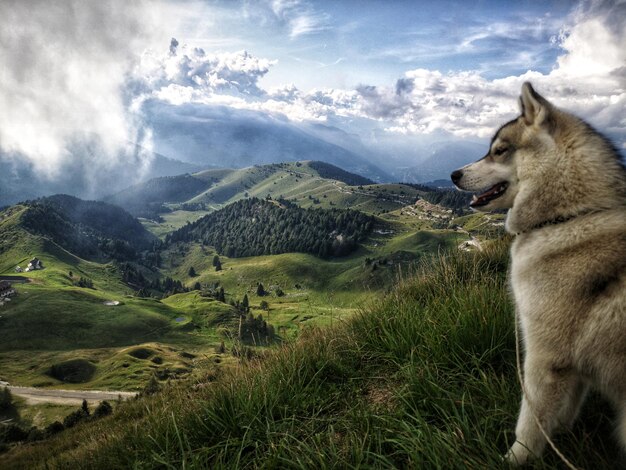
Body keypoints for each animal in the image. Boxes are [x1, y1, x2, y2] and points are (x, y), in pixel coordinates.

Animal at [448, 83, 624, 462]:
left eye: (499, 151)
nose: (453, 175)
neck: (567, 218)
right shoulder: (569, 367)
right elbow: (565, 408)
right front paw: (559, 438)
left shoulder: (545, 356)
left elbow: (531, 419)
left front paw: (515, 460)